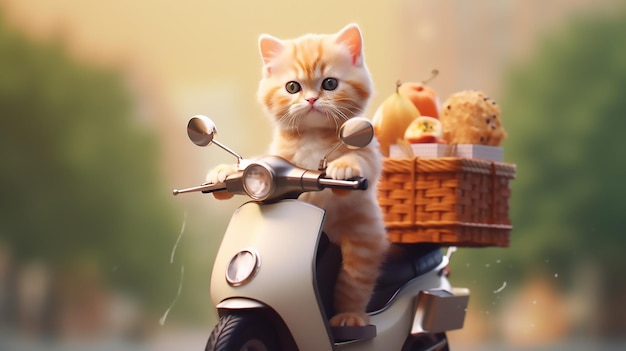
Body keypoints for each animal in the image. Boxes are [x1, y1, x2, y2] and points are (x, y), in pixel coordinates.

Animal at [207, 24, 388, 328]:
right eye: (293, 87)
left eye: (330, 84)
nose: (311, 99)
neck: (313, 136)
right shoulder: (276, 158)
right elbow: (254, 165)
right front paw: (223, 172)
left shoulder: (369, 156)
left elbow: (359, 161)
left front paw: (344, 166)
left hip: (364, 232)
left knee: (354, 281)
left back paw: (349, 315)